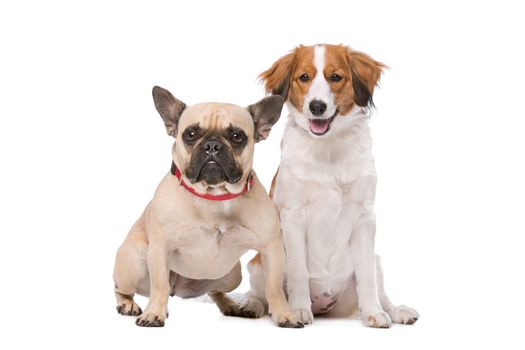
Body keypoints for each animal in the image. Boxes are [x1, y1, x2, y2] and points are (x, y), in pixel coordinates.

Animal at [239, 44, 420, 328]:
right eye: (304, 77)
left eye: (336, 77)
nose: (317, 107)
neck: (328, 149)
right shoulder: (293, 216)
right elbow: (298, 271)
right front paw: (299, 310)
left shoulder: (365, 217)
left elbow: (366, 276)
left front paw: (374, 313)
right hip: (258, 264)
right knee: (263, 294)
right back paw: (252, 305)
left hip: (375, 262)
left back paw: (397, 310)